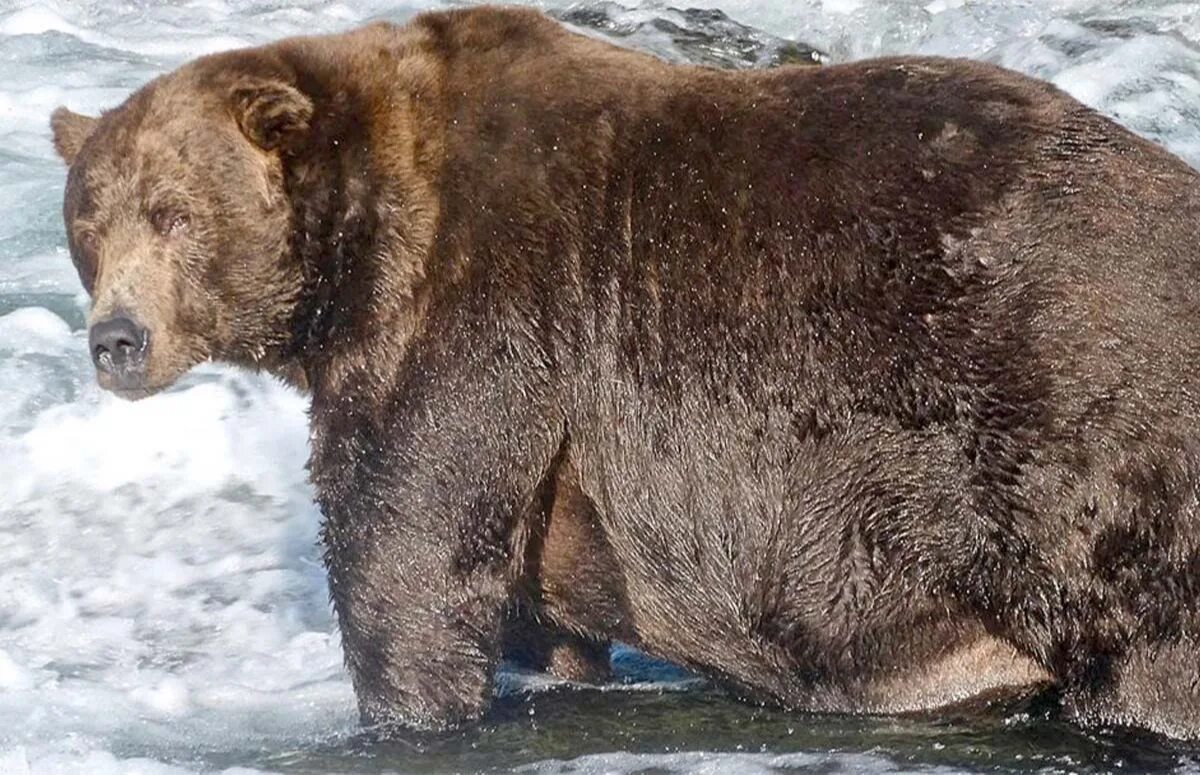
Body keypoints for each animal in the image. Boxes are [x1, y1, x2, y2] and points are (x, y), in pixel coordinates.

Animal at [50, 5, 1200, 739]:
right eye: (89, 220)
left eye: (174, 210)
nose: (117, 339)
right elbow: (531, 611)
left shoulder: (483, 312)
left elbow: (408, 548)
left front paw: (402, 708)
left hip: (1077, 441)